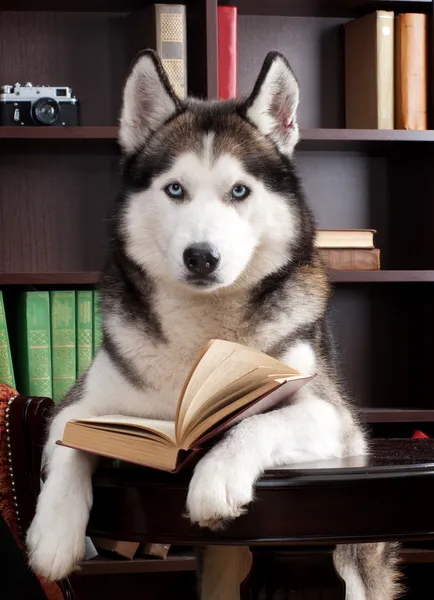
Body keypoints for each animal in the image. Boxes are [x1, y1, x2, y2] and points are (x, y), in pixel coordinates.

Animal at [26, 51, 400, 600]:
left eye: (239, 190)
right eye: (174, 189)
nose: (201, 257)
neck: (202, 338)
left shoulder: (334, 419)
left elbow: (257, 421)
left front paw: (217, 474)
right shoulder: (84, 402)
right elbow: (68, 438)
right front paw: (53, 534)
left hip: (351, 561)